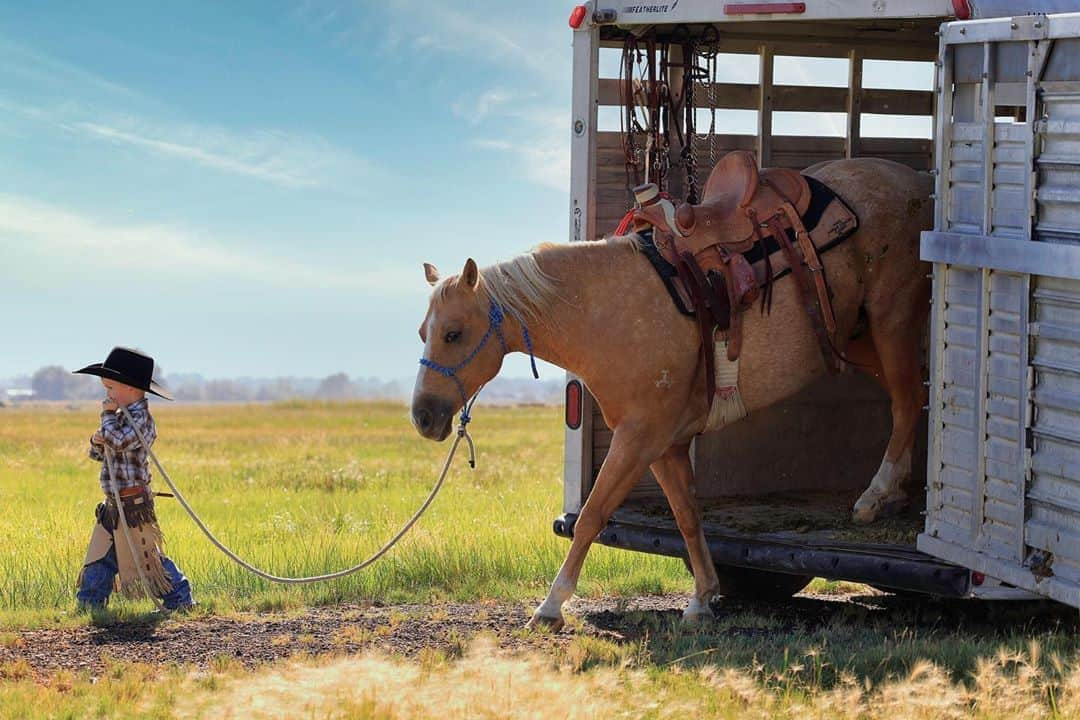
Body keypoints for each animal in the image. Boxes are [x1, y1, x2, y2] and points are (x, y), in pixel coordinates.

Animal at [408, 157, 933, 630]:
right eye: (422, 333)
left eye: (453, 333)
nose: (423, 417)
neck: (602, 310)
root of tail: (915, 180)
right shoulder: (665, 445)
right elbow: (686, 516)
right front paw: (702, 599)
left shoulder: (638, 437)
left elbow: (592, 515)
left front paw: (551, 606)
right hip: (857, 338)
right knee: (908, 399)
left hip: (892, 319)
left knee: (908, 398)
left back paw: (876, 495)